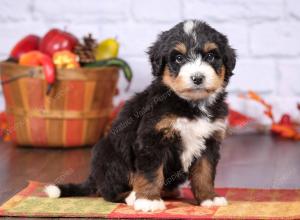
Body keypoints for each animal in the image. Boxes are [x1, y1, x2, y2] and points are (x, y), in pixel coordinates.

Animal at [44, 19, 237, 212]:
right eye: (179, 58)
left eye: (210, 56)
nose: (197, 78)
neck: (191, 105)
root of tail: (94, 176)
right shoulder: (152, 138)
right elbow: (151, 173)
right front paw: (148, 200)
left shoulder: (210, 141)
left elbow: (205, 173)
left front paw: (209, 198)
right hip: (112, 156)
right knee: (109, 191)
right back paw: (131, 196)